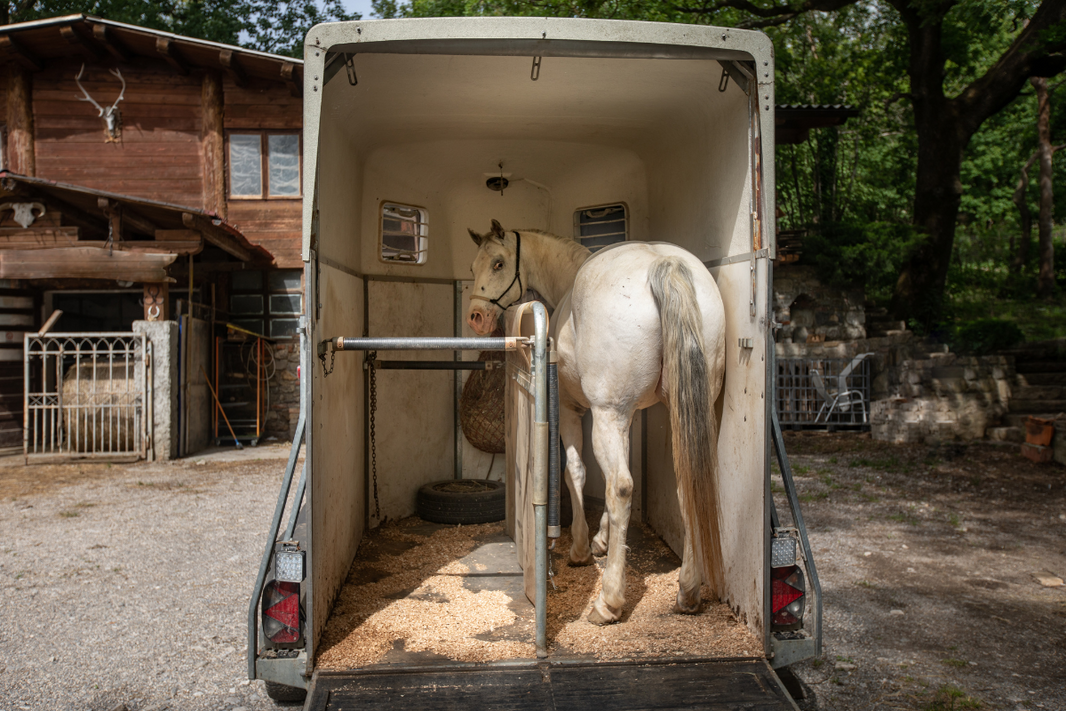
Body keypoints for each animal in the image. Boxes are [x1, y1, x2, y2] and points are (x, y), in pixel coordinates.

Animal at [467, 219, 726, 625]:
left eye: (497, 263)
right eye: (472, 266)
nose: (476, 318)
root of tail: (662, 263)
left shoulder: (576, 412)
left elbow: (578, 472)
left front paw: (581, 548)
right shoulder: (627, 415)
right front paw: (602, 540)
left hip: (605, 415)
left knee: (621, 487)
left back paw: (609, 602)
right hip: (676, 413)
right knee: (687, 484)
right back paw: (687, 591)